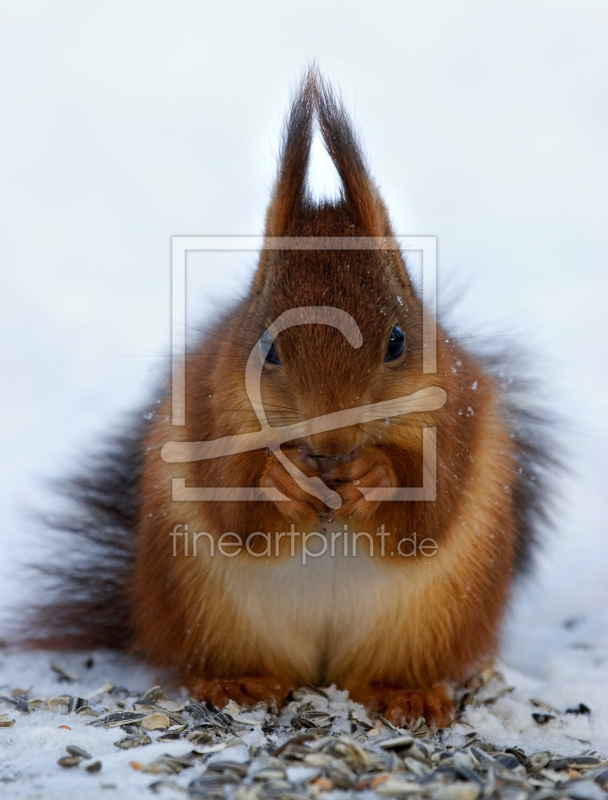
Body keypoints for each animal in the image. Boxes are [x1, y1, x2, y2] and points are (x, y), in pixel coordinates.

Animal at [23, 72, 552, 728]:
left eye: (398, 340)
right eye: (268, 347)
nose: (332, 438)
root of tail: (319, 669)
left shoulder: (457, 411)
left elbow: (431, 507)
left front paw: (376, 475)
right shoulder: (208, 406)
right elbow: (232, 504)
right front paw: (282, 480)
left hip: (437, 620)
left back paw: (404, 694)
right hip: (204, 611)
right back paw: (239, 683)